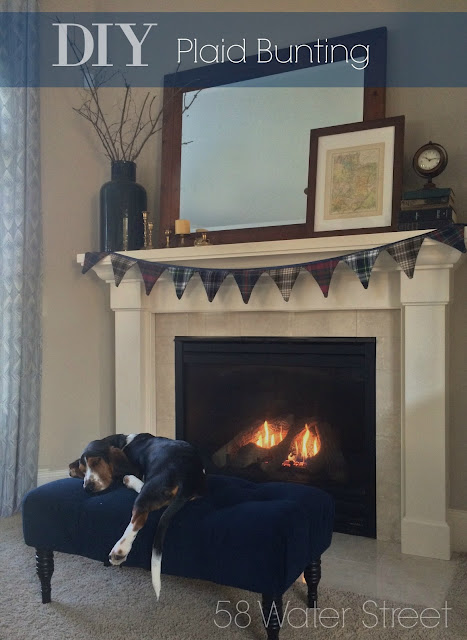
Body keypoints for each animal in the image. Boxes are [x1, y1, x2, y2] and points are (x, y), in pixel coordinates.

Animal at [69, 433, 205, 598]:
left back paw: (120, 550)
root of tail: (187, 478)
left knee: (138, 518)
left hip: (149, 489)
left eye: (96, 462)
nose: (88, 487)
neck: (123, 443)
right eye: (83, 470)